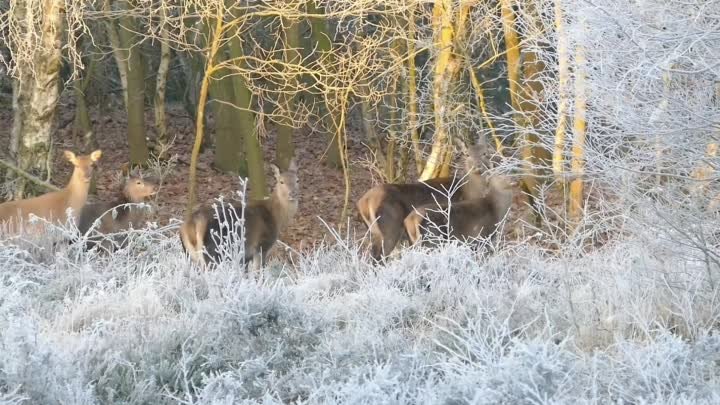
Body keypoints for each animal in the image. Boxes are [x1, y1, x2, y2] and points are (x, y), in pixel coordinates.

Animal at [356, 140, 492, 262]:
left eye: (485, 153)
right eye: (466, 154)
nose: (478, 166)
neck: (468, 192)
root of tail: (364, 202)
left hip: (374, 232)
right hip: (390, 228)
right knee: (379, 258)